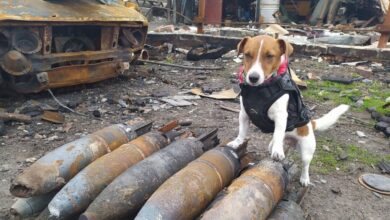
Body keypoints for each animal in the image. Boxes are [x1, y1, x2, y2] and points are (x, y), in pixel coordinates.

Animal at [227, 35, 348, 186]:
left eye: (270, 56)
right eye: (247, 55)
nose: (253, 78)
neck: (260, 90)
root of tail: (310, 124)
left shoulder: (281, 117)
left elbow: (278, 133)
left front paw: (278, 151)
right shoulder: (244, 115)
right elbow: (242, 132)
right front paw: (237, 142)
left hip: (307, 150)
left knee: (305, 165)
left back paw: (304, 178)